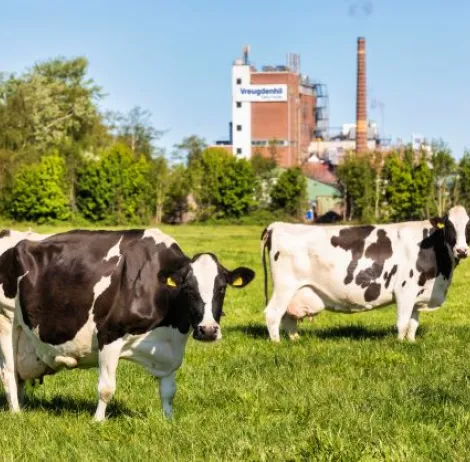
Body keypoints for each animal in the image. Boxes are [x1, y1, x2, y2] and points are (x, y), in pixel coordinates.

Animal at [0, 229, 255, 420]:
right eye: (188, 289)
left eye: (221, 288)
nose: (208, 330)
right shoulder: (109, 334)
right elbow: (106, 388)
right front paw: (98, 421)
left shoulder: (170, 348)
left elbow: (168, 391)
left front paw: (169, 420)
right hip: (6, 320)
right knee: (9, 372)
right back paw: (16, 414)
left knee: (19, 376)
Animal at [260, 206, 470, 342]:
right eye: (449, 226)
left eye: (469, 227)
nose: (462, 250)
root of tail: (276, 225)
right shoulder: (405, 290)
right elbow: (402, 323)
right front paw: (400, 344)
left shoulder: (419, 294)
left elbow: (413, 324)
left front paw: (411, 342)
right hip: (285, 286)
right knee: (273, 313)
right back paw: (277, 343)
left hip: (296, 291)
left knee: (288, 316)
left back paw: (295, 339)